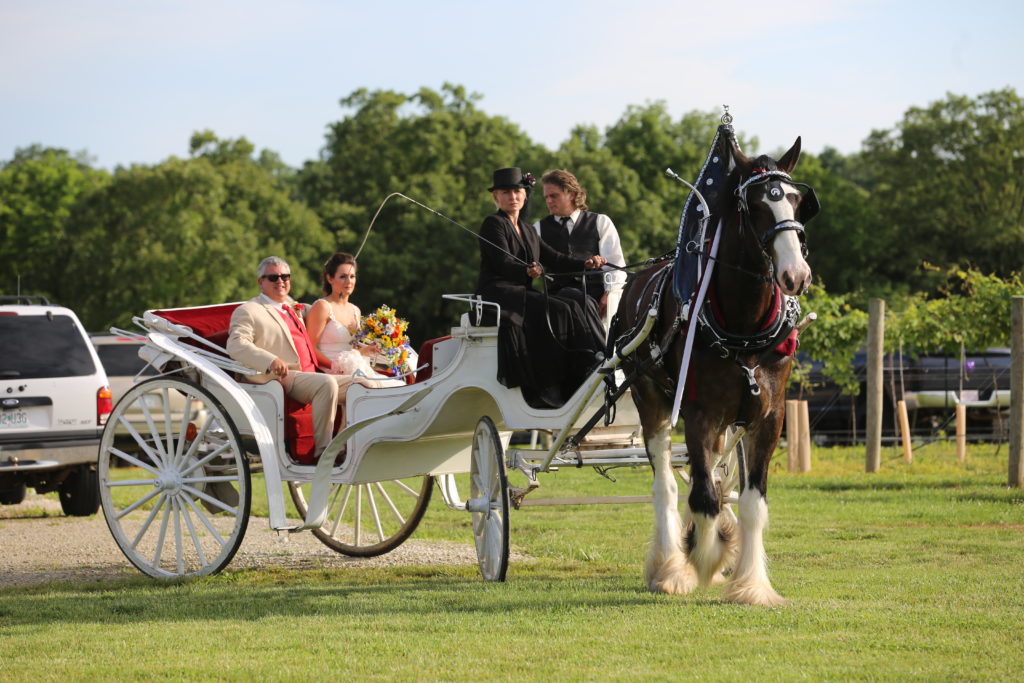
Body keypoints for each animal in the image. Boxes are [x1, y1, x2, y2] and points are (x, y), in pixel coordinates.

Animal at [614, 132, 815, 602]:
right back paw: (670, 565)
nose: (796, 274)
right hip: (651, 401)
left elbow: (751, 501)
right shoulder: (699, 414)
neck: (743, 329)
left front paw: (751, 584)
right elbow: (702, 497)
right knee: (667, 485)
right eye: (755, 204)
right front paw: (703, 560)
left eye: (797, 202)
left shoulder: (769, 417)